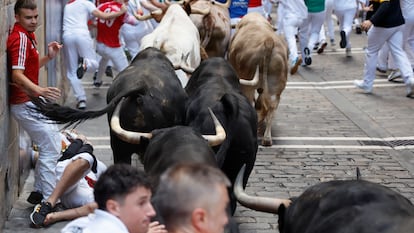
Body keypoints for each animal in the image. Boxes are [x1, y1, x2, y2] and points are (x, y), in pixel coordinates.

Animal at [226, 12, 288, 146]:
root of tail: (268, 41)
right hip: (276, 86)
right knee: (272, 108)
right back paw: (267, 139)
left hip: (247, 84)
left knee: (250, 101)